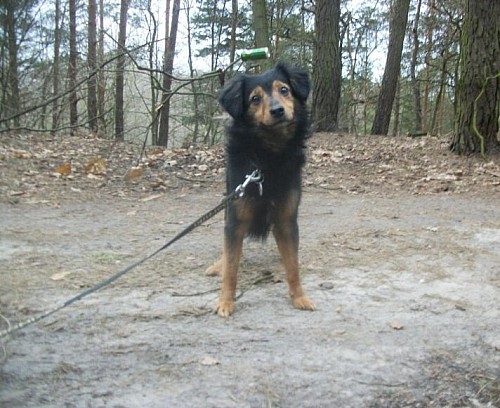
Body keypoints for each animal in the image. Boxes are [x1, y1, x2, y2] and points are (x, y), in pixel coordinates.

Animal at [206, 62, 316, 317]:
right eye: (255, 98)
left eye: (284, 90)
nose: (277, 110)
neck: (269, 157)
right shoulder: (235, 217)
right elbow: (231, 267)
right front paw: (225, 302)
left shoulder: (287, 219)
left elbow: (293, 266)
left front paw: (299, 297)